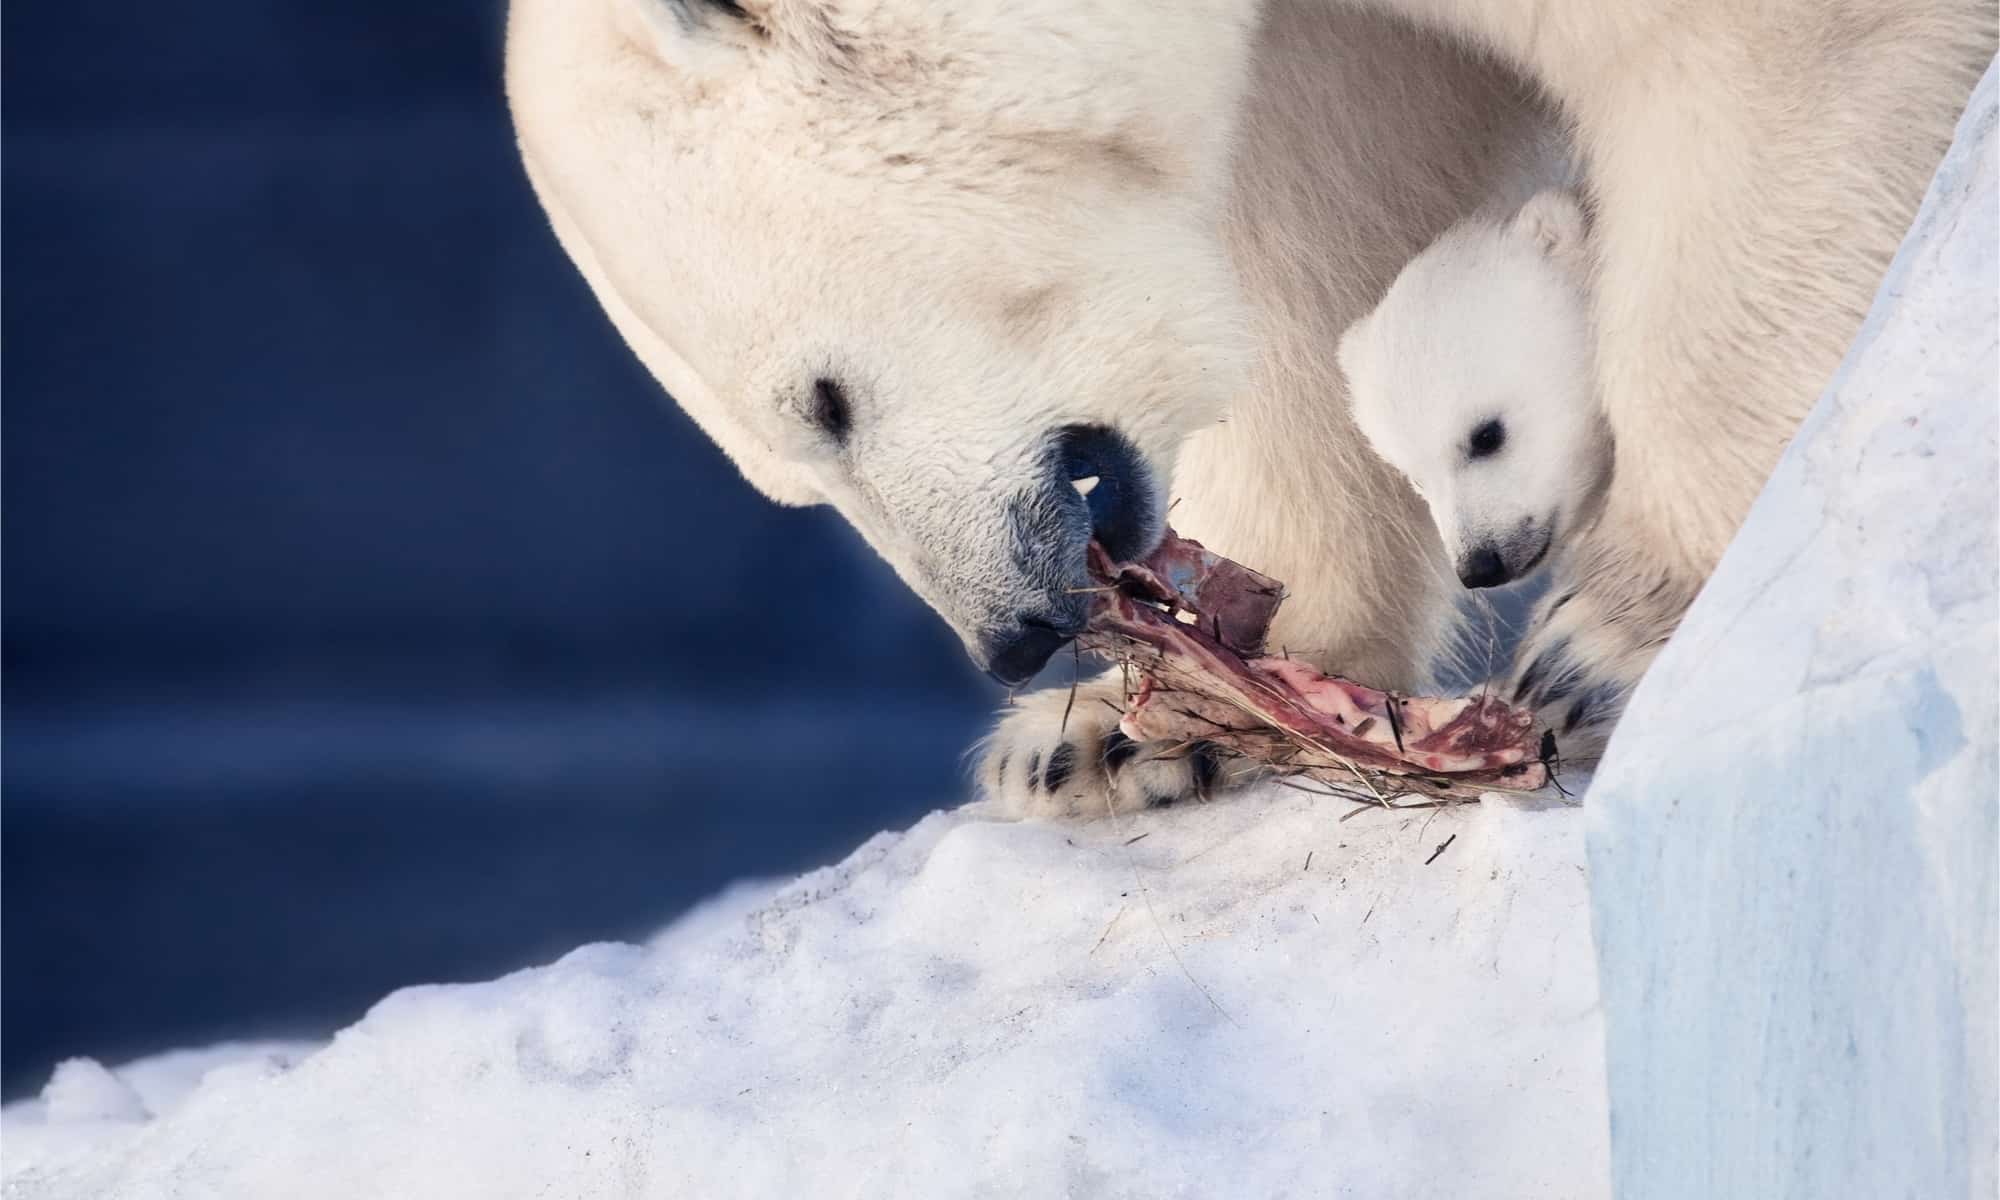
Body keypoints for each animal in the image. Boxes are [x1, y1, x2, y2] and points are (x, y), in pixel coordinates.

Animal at [512, 0, 1984, 816]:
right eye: (790, 467)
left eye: (822, 401)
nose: (1012, 635)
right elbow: (1311, 189)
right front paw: (1112, 735)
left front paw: (1610, 636)